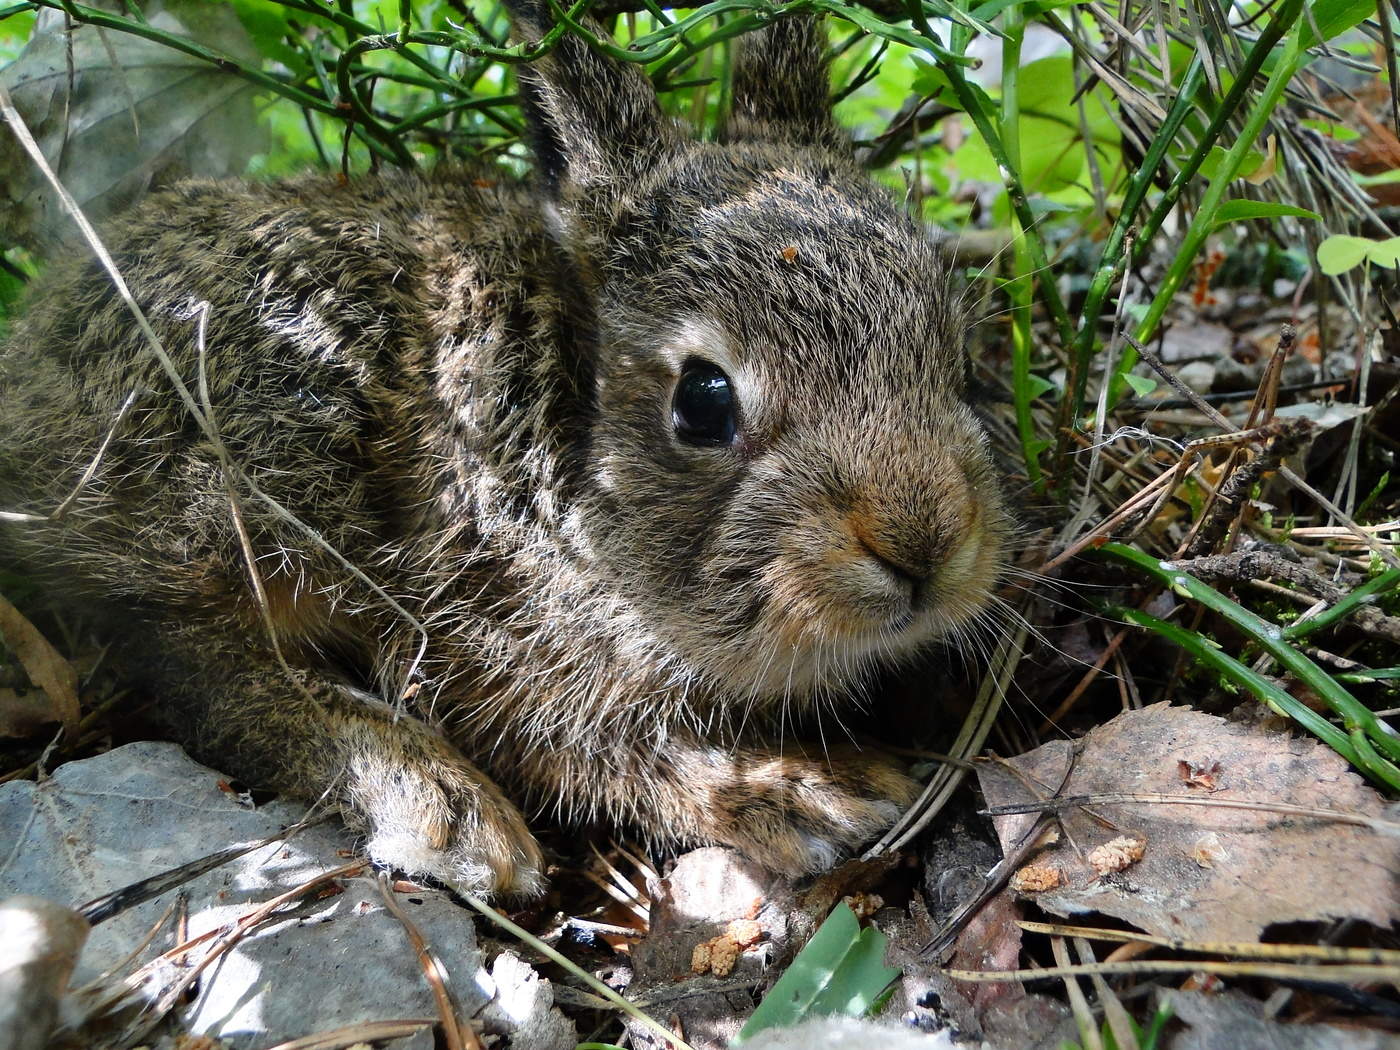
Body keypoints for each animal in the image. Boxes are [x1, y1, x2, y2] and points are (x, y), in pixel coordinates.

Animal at [0, 6, 1008, 896]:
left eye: (960, 360)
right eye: (704, 401)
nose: (923, 546)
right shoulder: (486, 633)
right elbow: (580, 749)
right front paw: (812, 796)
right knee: (199, 668)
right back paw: (446, 807)